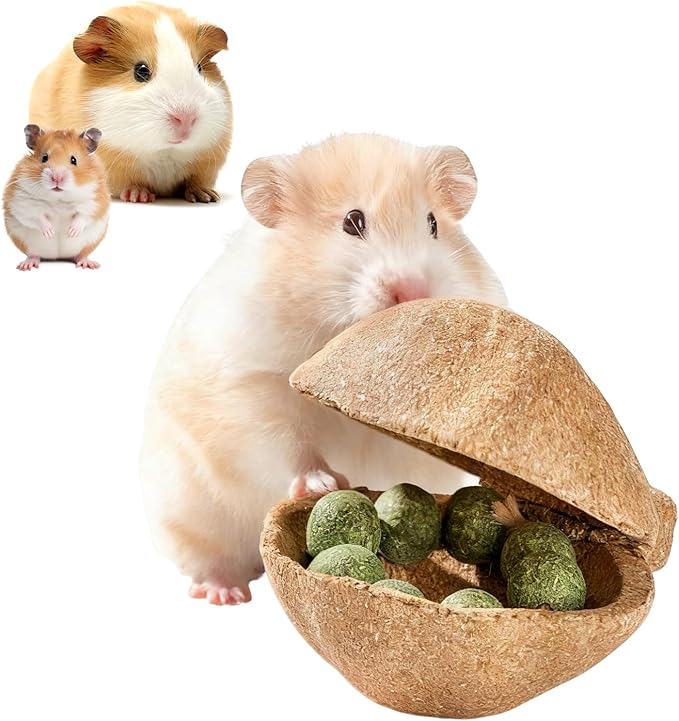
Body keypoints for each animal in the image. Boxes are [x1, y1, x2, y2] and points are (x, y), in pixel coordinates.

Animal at [4, 125, 110, 270]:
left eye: (73, 160)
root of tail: (58, 257)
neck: (58, 198)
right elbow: (37, 216)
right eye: (44, 157)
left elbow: (83, 216)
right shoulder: (22, 200)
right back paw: (27, 265)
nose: (57, 178)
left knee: (80, 255)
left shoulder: (94, 201)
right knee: (34, 255)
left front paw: (72, 232)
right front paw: (50, 232)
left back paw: (88, 264)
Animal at [29, 4, 231, 203]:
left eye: (199, 68)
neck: (165, 152)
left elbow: (195, 181)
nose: (186, 118)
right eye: (141, 71)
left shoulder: (206, 164)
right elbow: (130, 183)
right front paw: (139, 197)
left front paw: (207, 197)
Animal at [140, 133, 508, 605]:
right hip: (188, 512)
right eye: (352, 222)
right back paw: (225, 594)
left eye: (433, 224)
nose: (412, 290)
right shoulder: (248, 389)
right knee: (212, 558)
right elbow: (287, 445)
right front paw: (324, 484)